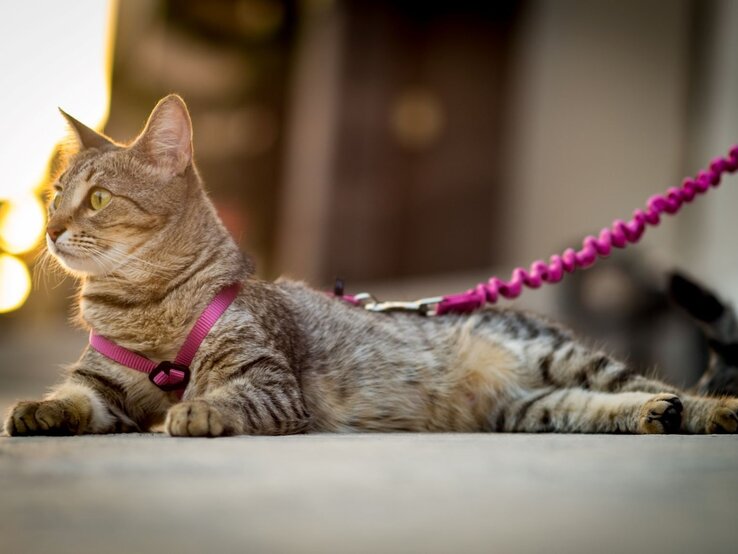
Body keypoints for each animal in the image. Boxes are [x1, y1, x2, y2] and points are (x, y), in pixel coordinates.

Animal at [2, 92, 732, 434]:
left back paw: (708, 412)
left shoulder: (269, 381)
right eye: (56, 194)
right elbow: (72, 397)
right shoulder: (103, 389)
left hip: (564, 358)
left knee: (649, 382)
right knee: (602, 404)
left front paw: (197, 411)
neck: (144, 306)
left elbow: (228, 394)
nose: (51, 227)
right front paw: (35, 409)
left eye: (97, 199)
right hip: (532, 406)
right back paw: (653, 416)